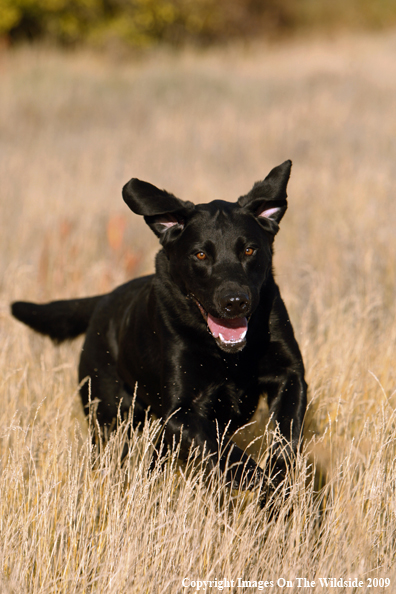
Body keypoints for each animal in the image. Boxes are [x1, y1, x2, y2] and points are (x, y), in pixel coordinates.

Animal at [10, 160, 306, 492]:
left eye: (249, 250)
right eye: (200, 254)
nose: (235, 302)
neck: (229, 356)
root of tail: (104, 300)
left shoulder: (290, 376)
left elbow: (286, 436)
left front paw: (280, 485)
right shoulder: (181, 412)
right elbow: (223, 450)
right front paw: (259, 482)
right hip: (110, 416)